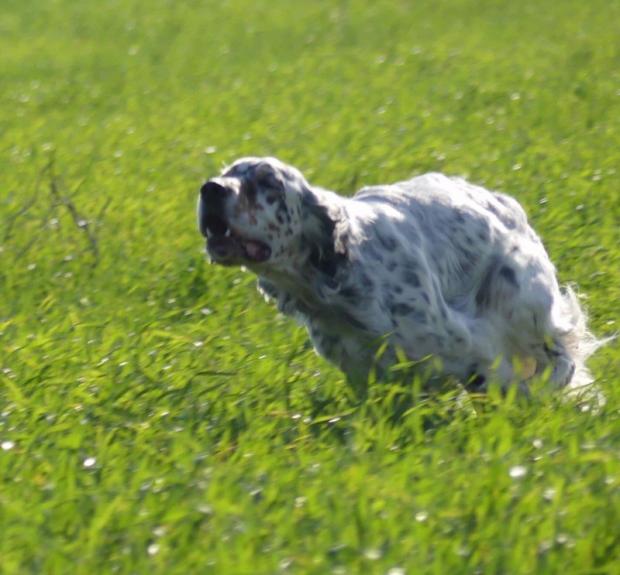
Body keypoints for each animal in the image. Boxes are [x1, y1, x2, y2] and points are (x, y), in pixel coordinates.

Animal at [197, 158, 600, 398]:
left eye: (268, 183)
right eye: (226, 173)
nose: (210, 188)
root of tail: (503, 201)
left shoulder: (470, 345)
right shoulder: (363, 372)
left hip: (520, 297)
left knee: (561, 359)